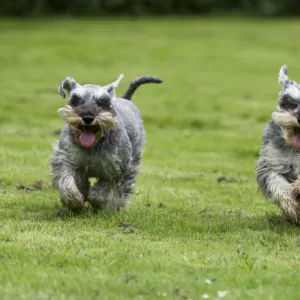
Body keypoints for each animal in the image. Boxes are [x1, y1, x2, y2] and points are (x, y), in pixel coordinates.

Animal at [49, 74, 162, 212]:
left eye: (104, 102)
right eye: (75, 99)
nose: (87, 118)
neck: (92, 146)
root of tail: (125, 99)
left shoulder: (115, 168)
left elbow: (100, 191)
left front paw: (98, 203)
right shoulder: (66, 159)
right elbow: (67, 183)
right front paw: (75, 201)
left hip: (133, 163)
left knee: (124, 188)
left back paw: (116, 206)